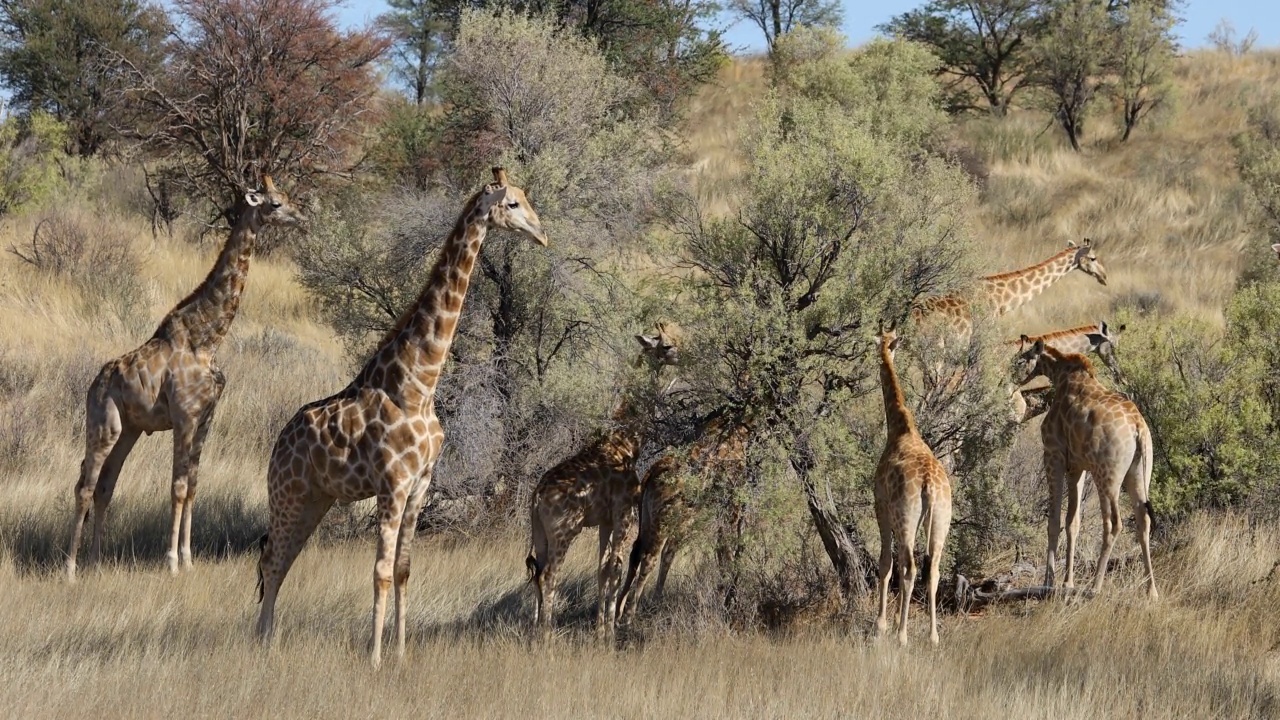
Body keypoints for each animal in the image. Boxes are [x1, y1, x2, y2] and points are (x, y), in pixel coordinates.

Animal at [67, 176, 304, 579]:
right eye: (274, 203)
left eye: (288, 197)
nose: (301, 218)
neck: (207, 339)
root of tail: (93, 386)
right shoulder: (185, 416)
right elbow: (177, 486)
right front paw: (172, 561)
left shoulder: (207, 417)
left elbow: (193, 484)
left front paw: (189, 558)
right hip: (103, 424)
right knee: (84, 484)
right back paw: (69, 569)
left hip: (129, 430)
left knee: (105, 484)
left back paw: (95, 563)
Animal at [253, 165, 545, 666]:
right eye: (512, 204)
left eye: (526, 199)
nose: (542, 234)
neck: (419, 384)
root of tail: (278, 444)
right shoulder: (392, 484)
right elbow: (381, 571)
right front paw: (374, 659)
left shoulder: (421, 484)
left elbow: (405, 569)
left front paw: (402, 653)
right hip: (287, 493)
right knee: (272, 562)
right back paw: (263, 644)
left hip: (315, 499)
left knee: (280, 559)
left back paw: (264, 640)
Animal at [524, 322, 680, 635]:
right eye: (666, 345)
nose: (680, 356)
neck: (627, 443)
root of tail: (536, 497)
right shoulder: (624, 514)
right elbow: (615, 568)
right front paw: (607, 632)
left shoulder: (605, 521)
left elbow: (602, 569)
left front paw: (600, 626)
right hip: (565, 531)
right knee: (549, 575)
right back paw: (547, 636)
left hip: (539, 532)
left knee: (537, 573)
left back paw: (534, 631)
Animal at [870, 319, 952, 645]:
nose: (880, 356)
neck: (900, 429)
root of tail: (929, 485)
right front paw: (892, 621)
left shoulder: (881, 506)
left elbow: (885, 563)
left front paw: (882, 625)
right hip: (940, 519)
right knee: (933, 570)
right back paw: (933, 636)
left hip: (905, 518)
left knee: (910, 568)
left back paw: (903, 636)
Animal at [1018, 338, 1162, 597]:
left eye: (1020, 360)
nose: (1008, 377)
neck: (1060, 374)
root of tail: (1138, 428)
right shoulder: (1078, 467)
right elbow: (1072, 522)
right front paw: (1067, 583)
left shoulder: (1053, 455)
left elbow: (1053, 520)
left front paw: (1048, 583)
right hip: (1139, 472)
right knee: (1143, 520)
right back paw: (1151, 591)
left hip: (1107, 475)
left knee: (1114, 522)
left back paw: (1095, 586)